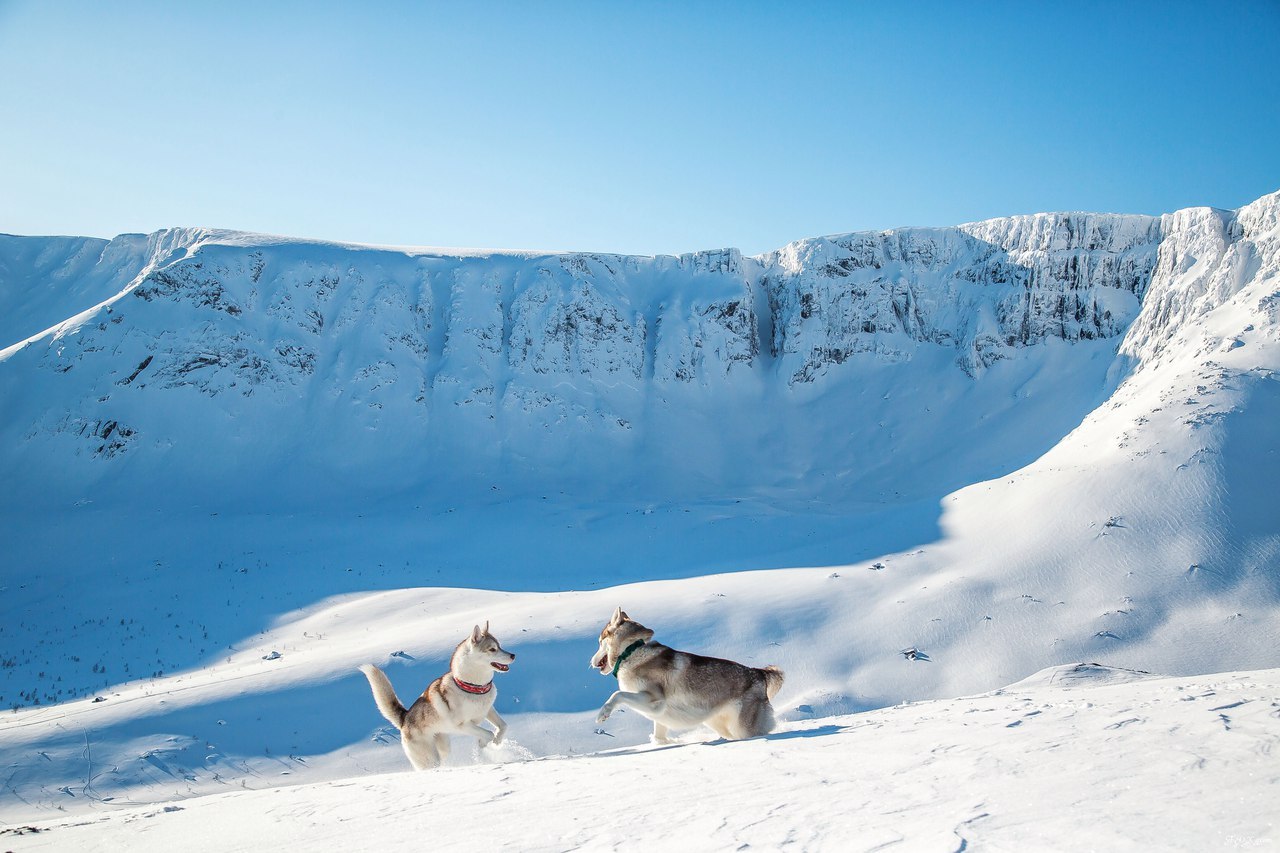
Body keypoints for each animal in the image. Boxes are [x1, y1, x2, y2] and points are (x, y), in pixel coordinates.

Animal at [355, 622, 514, 768]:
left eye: (499, 646)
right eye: (492, 649)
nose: (513, 655)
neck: (472, 687)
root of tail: (404, 719)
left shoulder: (488, 710)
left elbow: (503, 726)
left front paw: (497, 741)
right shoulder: (462, 725)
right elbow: (488, 733)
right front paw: (483, 743)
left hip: (443, 746)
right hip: (429, 758)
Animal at [586, 604, 778, 737]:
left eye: (599, 642)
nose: (590, 662)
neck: (631, 651)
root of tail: (760, 673)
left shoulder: (655, 701)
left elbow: (617, 695)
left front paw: (603, 714)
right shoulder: (658, 714)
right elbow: (659, 737)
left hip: (743, 727)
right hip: (716, 723)